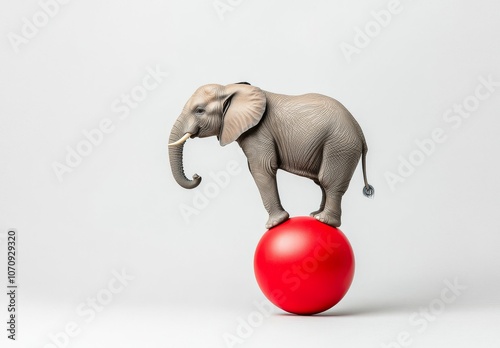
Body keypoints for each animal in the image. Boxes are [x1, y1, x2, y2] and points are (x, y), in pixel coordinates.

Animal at [169, 81, 376, 228]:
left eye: (199, 110)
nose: (197, 176)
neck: (230, 89)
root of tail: (360, 132)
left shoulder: (259, 132)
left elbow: (261, 169)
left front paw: (275, 224)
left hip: (340, 146)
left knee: (328, 180)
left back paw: (324, 220)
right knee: (322, 182)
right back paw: (315, 215)